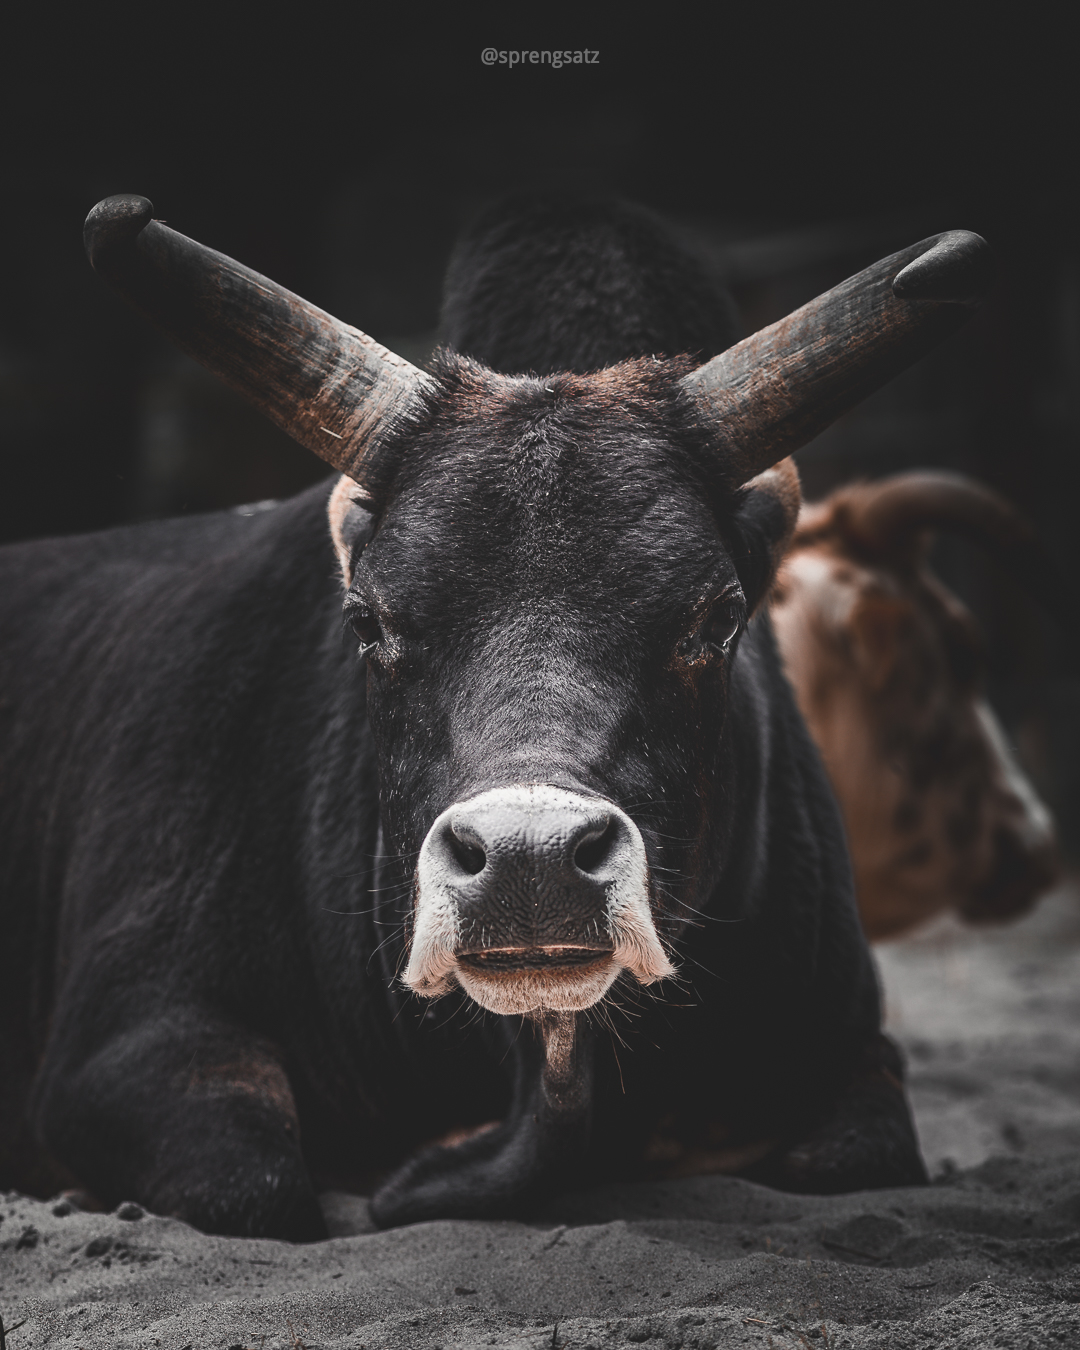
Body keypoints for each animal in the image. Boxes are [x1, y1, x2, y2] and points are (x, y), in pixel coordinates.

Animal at [0, 195, 993, 1236]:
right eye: (368, 619)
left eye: (718, 618)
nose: (531, 864)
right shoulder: (125, 1047)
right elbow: (260, 1187)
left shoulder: (853, 1046)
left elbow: (864, 1153)